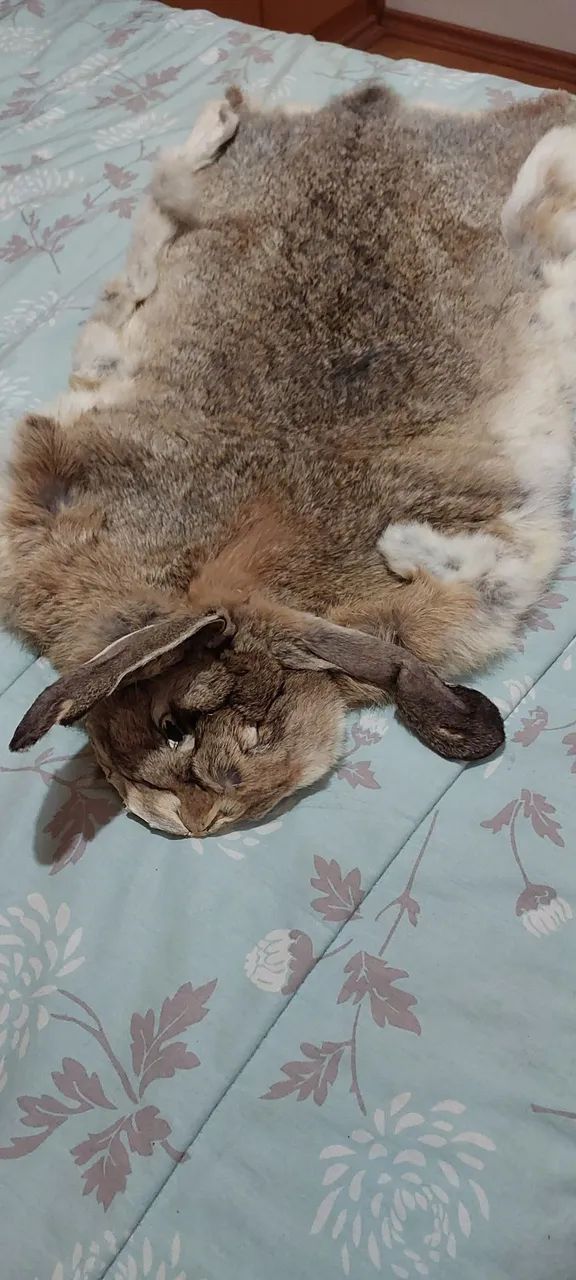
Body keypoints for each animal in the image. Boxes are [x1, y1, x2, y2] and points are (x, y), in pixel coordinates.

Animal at [2, 83, 576, 838]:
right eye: (170, 732)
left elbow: (479, 555)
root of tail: (367, 107)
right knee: (156, 225)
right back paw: (223, 118)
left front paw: (400, 540)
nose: (202, 820)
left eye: (250, 730)